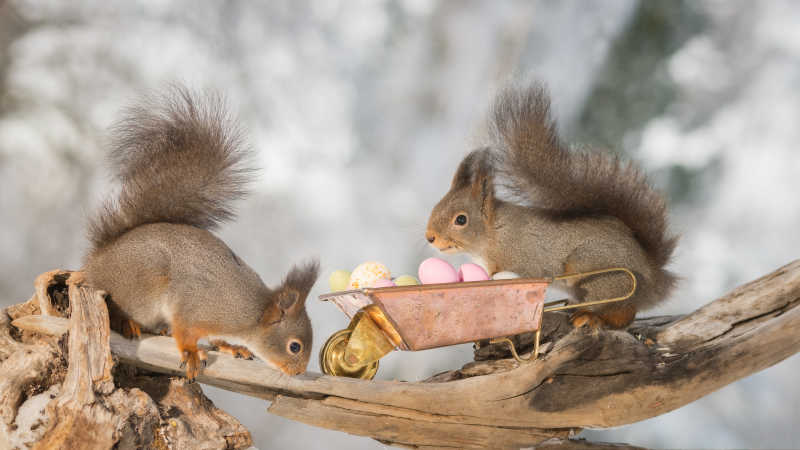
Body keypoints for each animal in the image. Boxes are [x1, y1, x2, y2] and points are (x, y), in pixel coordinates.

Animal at [82, 86, 318, 378]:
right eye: (294, 347)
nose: (298, 372)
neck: (251, 312)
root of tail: (96, 261)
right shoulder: (193, 307)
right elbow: (184, 332)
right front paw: (192, 354)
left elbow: (216, 338)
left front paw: (231, 347)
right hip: (138, 283)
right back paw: (126, 322)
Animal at [424, 82, 676, 328]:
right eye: (435, 206)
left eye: (461, 219)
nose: (430, 237)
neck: (494, 233)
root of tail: (655, 280)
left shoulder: (524, 258)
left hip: (599, 274)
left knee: (621, 313)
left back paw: (590, 317)